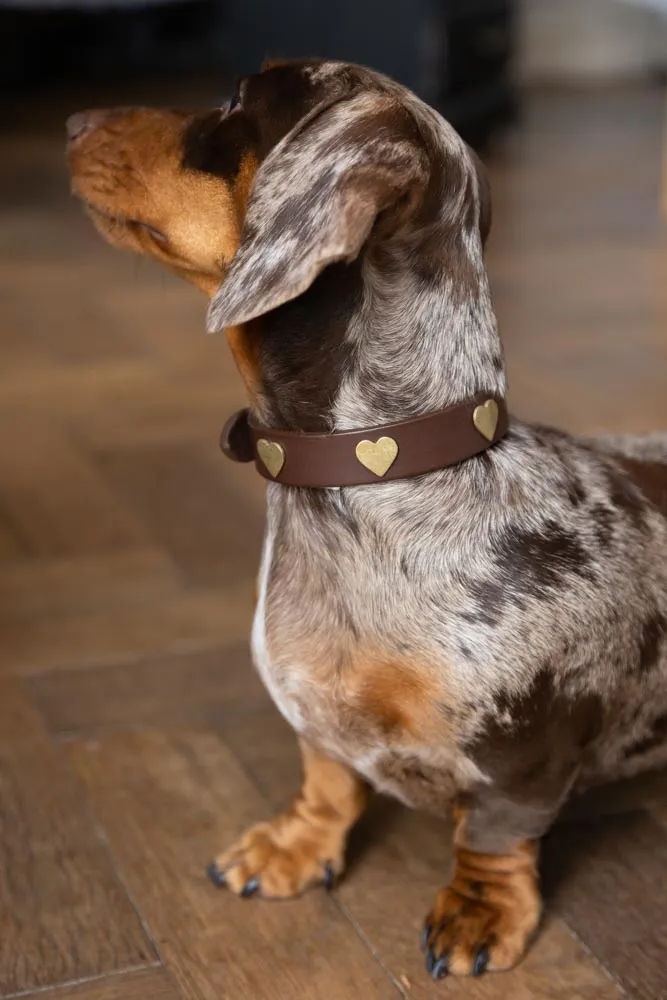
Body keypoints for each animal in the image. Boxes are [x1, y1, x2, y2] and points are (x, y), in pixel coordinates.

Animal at [66, 58, 667, 980]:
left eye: (236, 100)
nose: (70, 122)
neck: (388, 478)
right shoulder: (314, 715)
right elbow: (326, 777)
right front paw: (294, 845)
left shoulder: (522, 759)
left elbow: (495, 835)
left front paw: (478, 909)